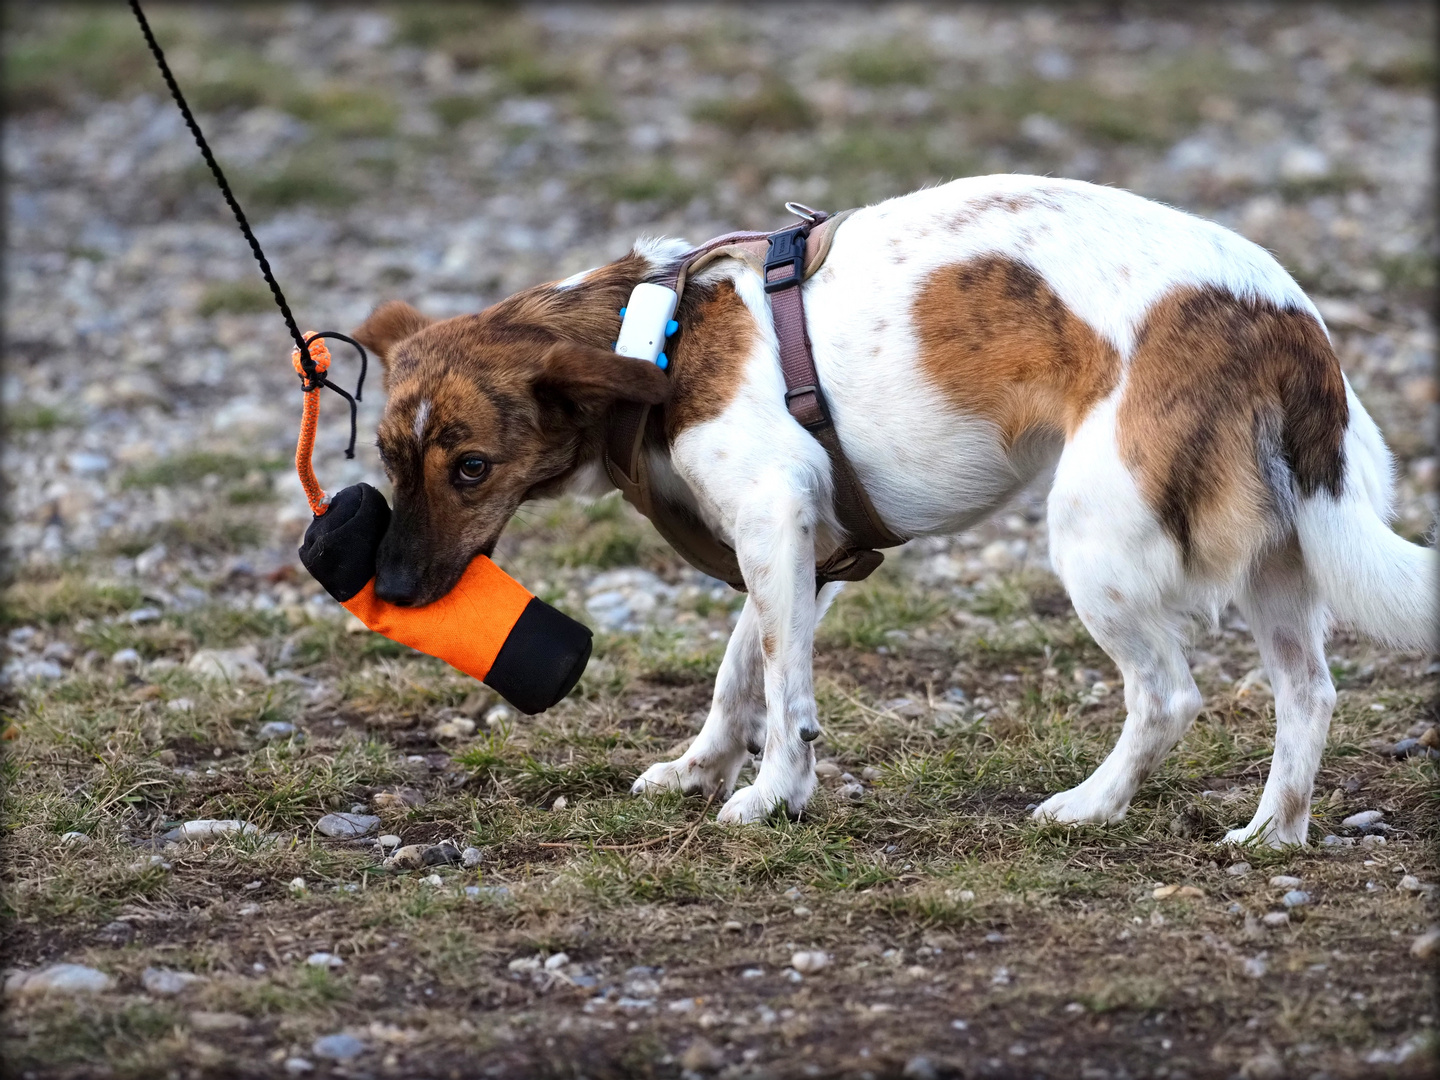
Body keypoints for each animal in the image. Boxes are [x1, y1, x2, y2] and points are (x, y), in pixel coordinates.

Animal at [351, 175, 1440, 846]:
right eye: (389, 461)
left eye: (472, 469)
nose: (390, 588)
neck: (652, 338)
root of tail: (1286, 324)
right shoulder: (802, 549)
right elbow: (739, 674)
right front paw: (703, 769)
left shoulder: (774, 523)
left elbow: (783, 692)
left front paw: (772, 797)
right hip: (1281, 558)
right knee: (1308, 695)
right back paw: (1273, 834)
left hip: (1095, 545)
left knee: (1167, 696)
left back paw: (1091, 807)